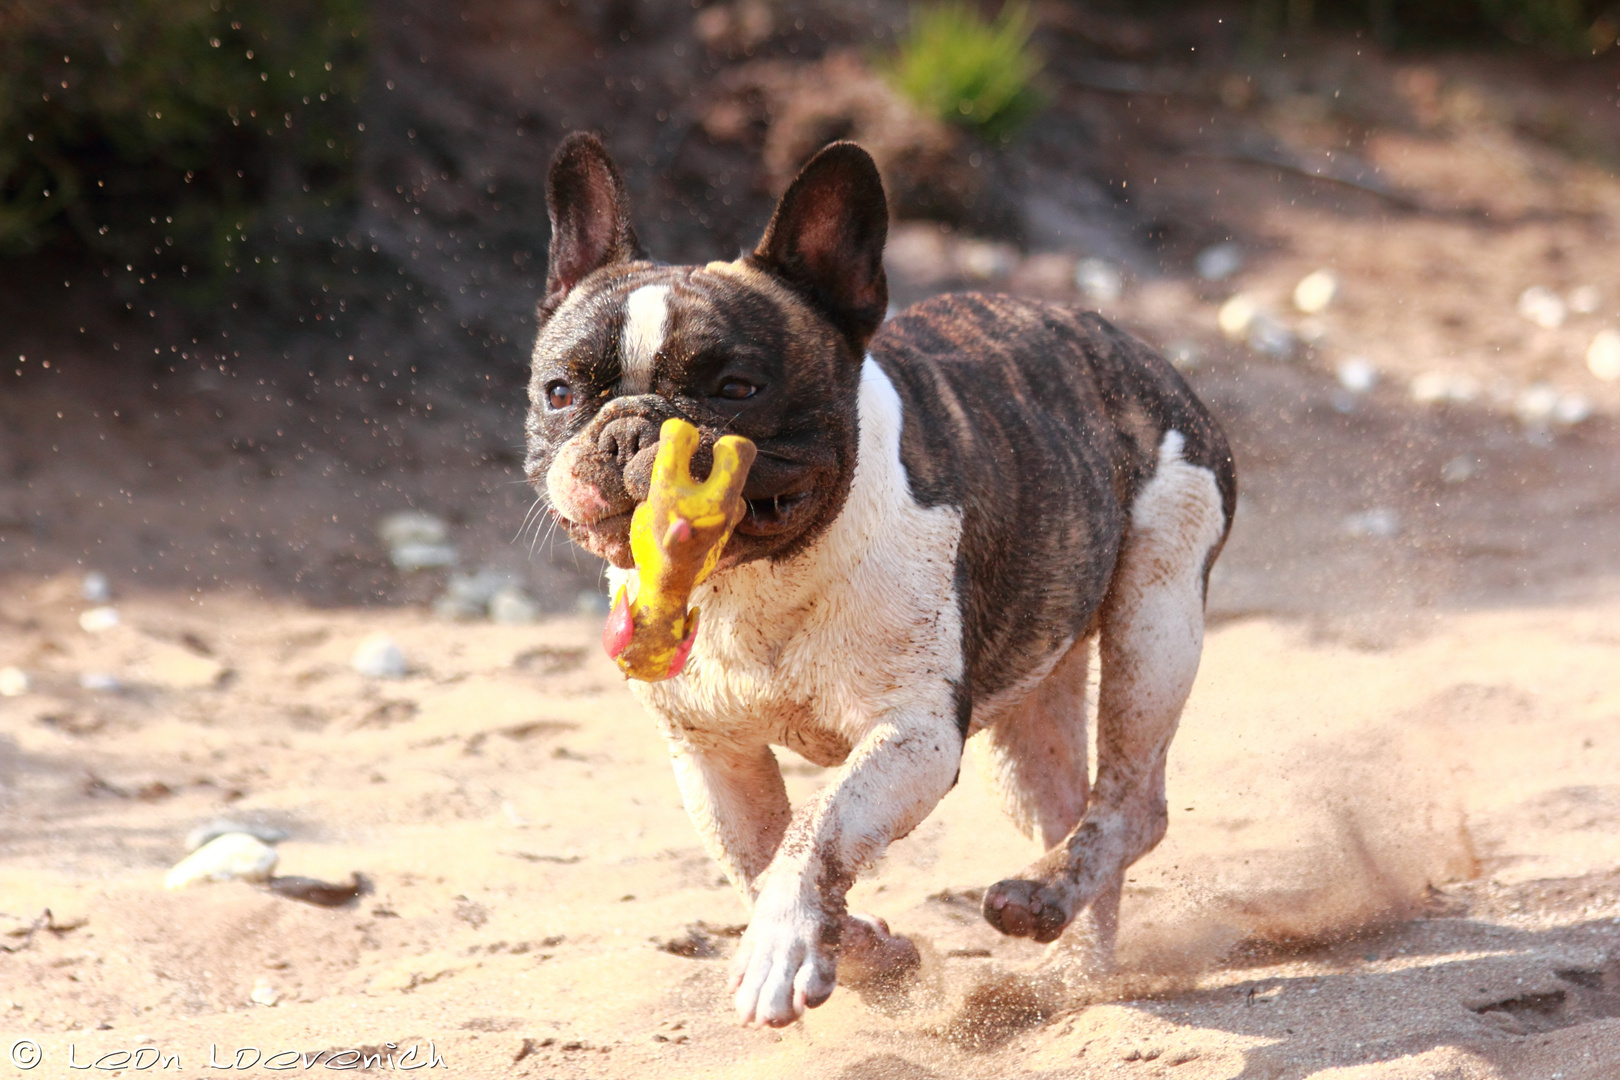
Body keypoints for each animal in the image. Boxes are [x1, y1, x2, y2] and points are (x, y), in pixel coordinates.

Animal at [524, 131, 1231, 1029]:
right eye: (560, 393)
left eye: (738, 388)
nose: (628, 431)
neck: (752, 584)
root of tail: (1129, 344)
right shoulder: (712, 755)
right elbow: (759, 859)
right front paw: (871, 956)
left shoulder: (913, 733)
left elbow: (818, 831)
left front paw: (784, 949)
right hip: (1031, 713)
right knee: (1069, 808)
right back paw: (1069, 963)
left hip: (1157, 614)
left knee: (1133, 802)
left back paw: (1048, 910)